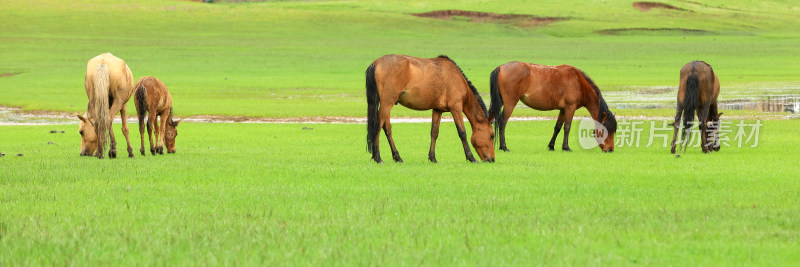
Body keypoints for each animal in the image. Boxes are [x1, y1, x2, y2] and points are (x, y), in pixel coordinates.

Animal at [488, 61, 620, 153]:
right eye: (606, 130)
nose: (610, 149)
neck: (578, 82)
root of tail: (501, 67)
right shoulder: (570, 108)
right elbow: (567, 127)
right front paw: (566, 147)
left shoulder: (563, 110)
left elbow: (557, 127)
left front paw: (551, 146)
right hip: (510, 103)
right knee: (502, 122)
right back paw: (504, 147)